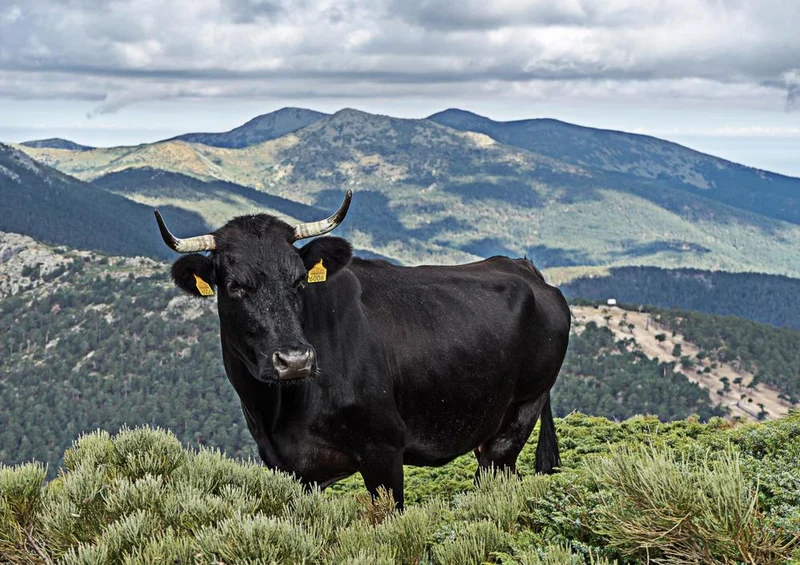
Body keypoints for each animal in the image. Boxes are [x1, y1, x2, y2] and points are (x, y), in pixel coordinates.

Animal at [155, 191, 570, 508]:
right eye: (235, 286)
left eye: (299, 280)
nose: (295, 360)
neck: (280, 411)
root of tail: (523, 267)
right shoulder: (285, 465)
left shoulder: (383, 450)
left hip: (521, 412)